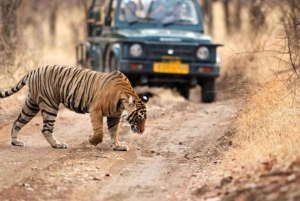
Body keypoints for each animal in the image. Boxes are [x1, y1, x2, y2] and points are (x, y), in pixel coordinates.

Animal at [0, 65, 149, 152]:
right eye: (139, 117)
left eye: (145, 119)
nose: (142, 131)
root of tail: (33, 71)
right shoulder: (95, 109)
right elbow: (99, 132)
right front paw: (91, 140)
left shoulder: (114, 116)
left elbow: (114, 132)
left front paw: (117, 146)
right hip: (49, 105)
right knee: (46, 129)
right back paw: (58, 145)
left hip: (31, 105)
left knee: (17, 122)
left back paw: (15, 142)